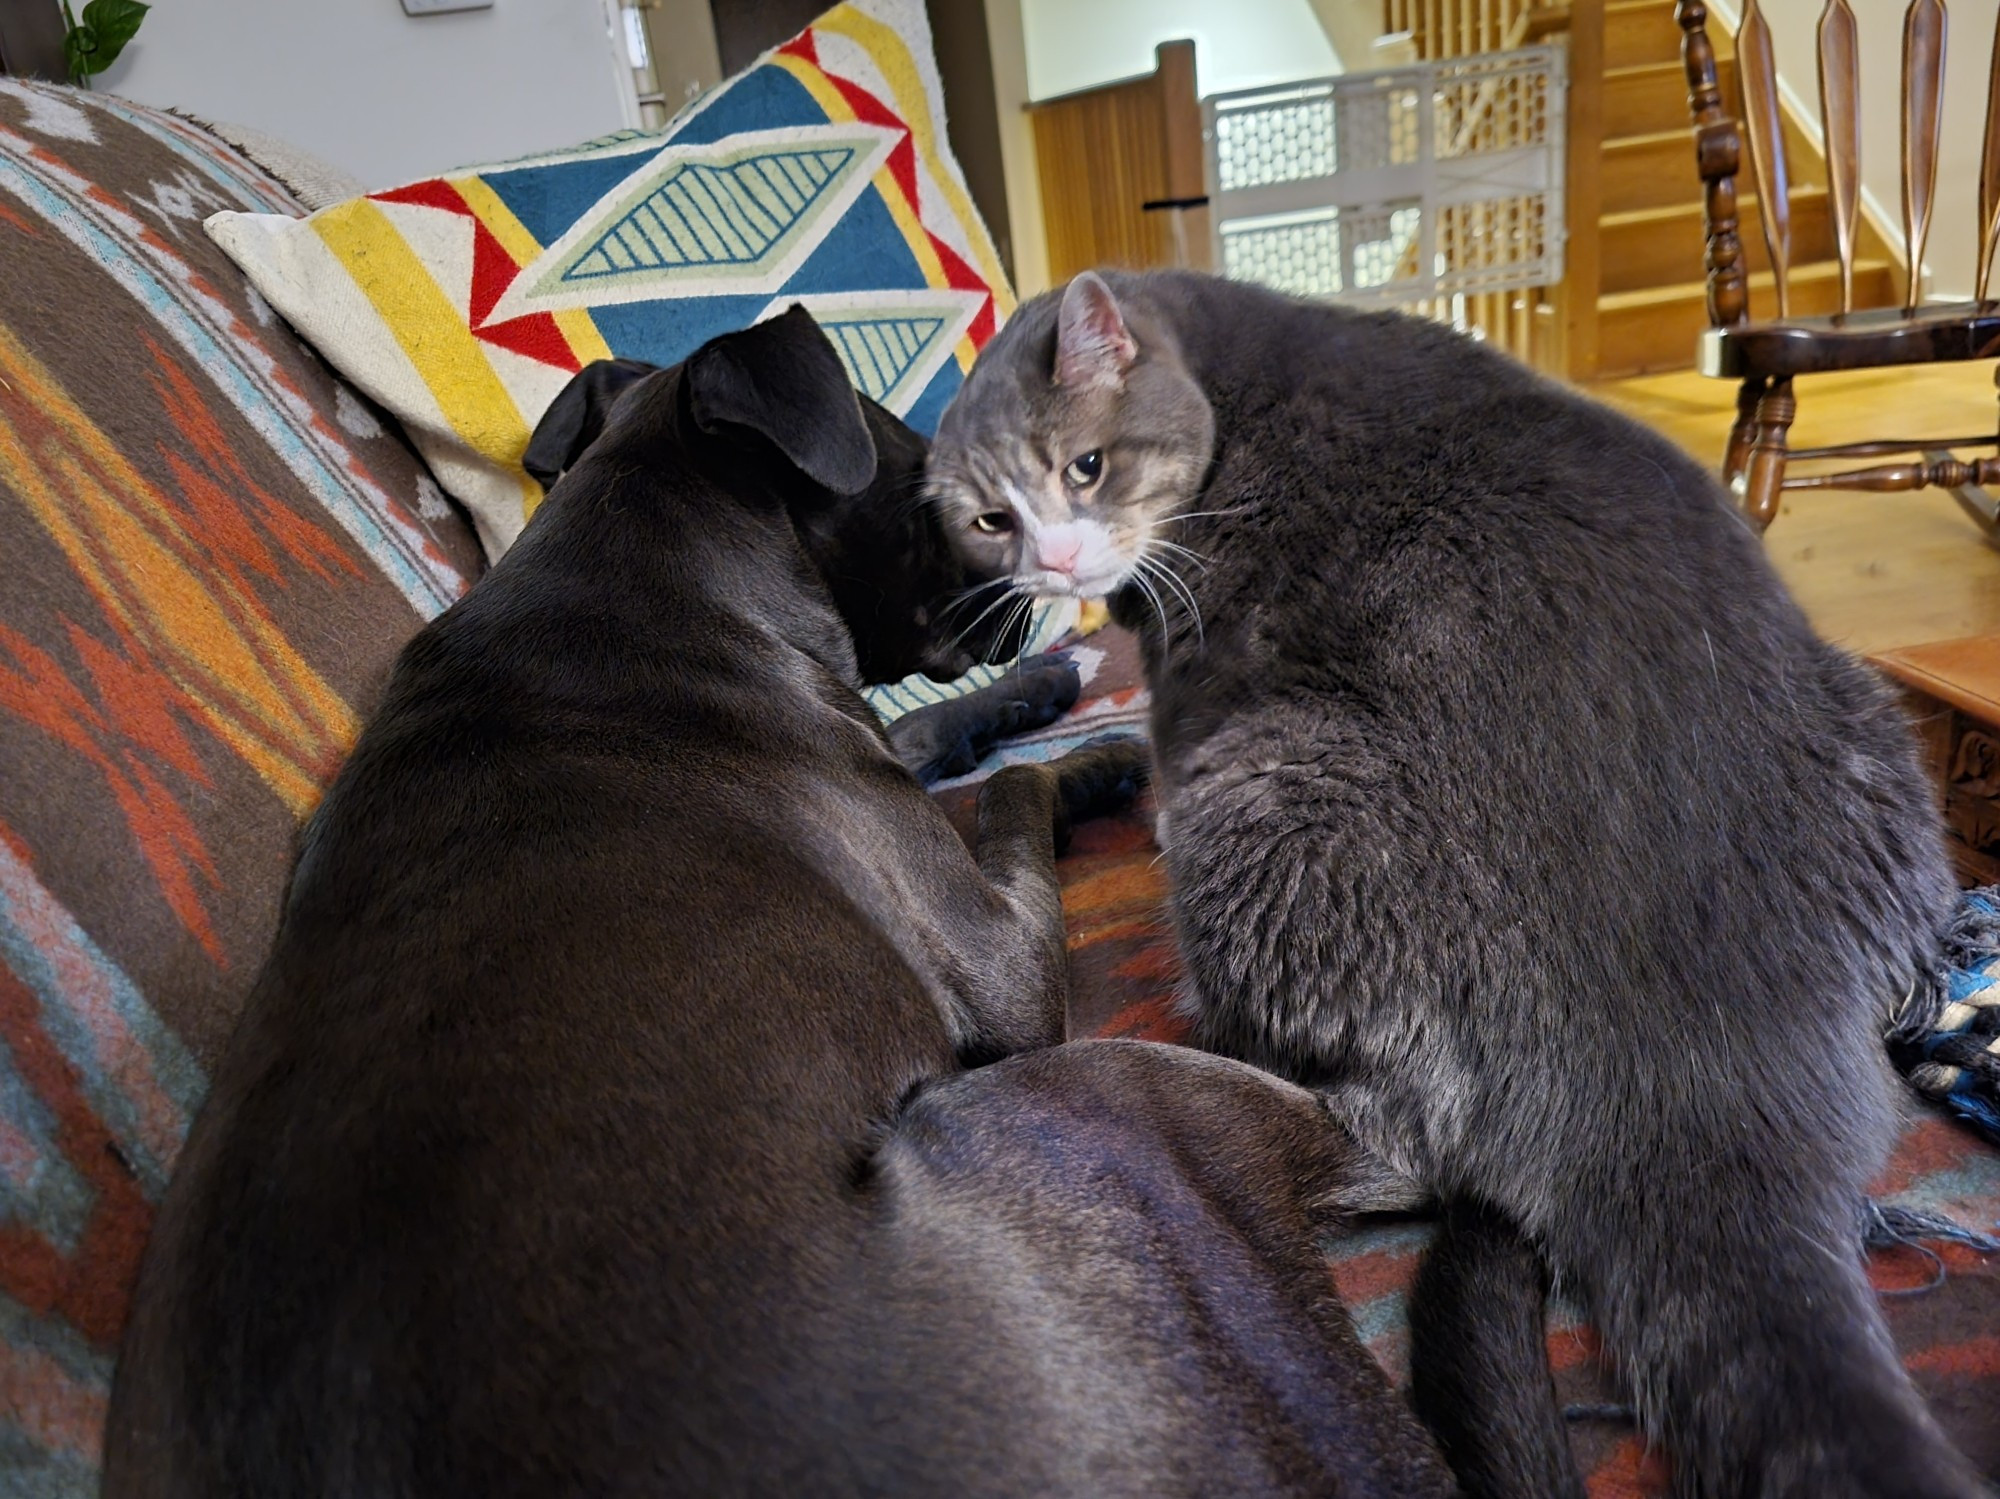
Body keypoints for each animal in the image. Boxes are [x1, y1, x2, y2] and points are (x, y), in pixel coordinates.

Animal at [101, 311, 1456, 1495]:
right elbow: (1006, 789)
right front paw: (1093, 757)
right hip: (1082, 1107)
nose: (1046, 577)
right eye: (952, 491)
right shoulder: (998, 964)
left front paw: (1037, 685)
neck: (644, 581)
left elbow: (931, 727)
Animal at [924, 269, 1984, 1499]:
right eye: (987, 519)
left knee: (1410, 1142)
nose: (1051, 564)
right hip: (1873, 724)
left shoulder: (1192, 677)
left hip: (1257, 796)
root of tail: (1703, 1078)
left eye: (1084, 466)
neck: (1228, 377)